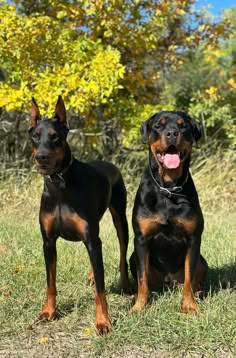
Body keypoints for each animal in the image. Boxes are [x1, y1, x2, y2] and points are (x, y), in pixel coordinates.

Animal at [29, 96, 131, 334]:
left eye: (55, 136)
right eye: (35, 135)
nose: (41, 157)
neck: (60, 185)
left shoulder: (91, 239)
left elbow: (101, 292)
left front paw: (103, 322)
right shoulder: (48, 242)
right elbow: (50, 282)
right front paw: (48, 312)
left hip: (120, 219)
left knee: (122, 253)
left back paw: (125, 285)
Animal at [130, 111, 207, 314]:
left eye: (183, 125)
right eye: (158, 125)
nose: (172, 133)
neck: (169, 188)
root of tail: (168, 282)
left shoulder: (193, 239)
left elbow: (189, 276)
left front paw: (189, 306)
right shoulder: (141, 239)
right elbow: (142, 278)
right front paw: (139, 306)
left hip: (202, 261)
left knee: (194, 279)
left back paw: (199, 293)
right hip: (132, 257)